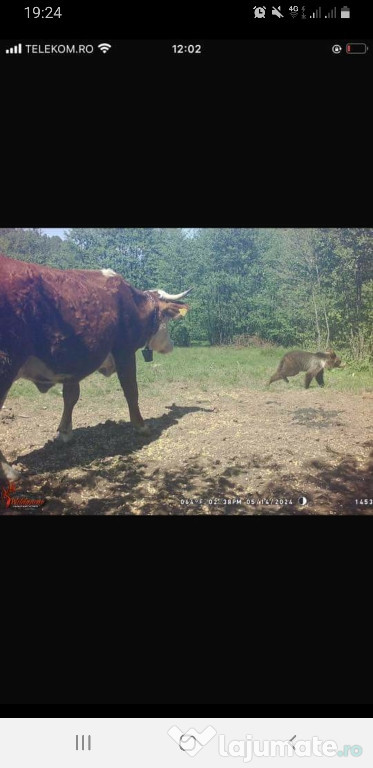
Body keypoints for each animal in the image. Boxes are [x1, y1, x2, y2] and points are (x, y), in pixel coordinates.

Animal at [0, 255, 190, 476]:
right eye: (167, 317)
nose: (171, 345)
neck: (133, 304)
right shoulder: (124, 351)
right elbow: (131, 390)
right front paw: (141, 426)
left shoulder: (72, 364)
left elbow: (71, 397)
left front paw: (65, 433)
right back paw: (8, 471)